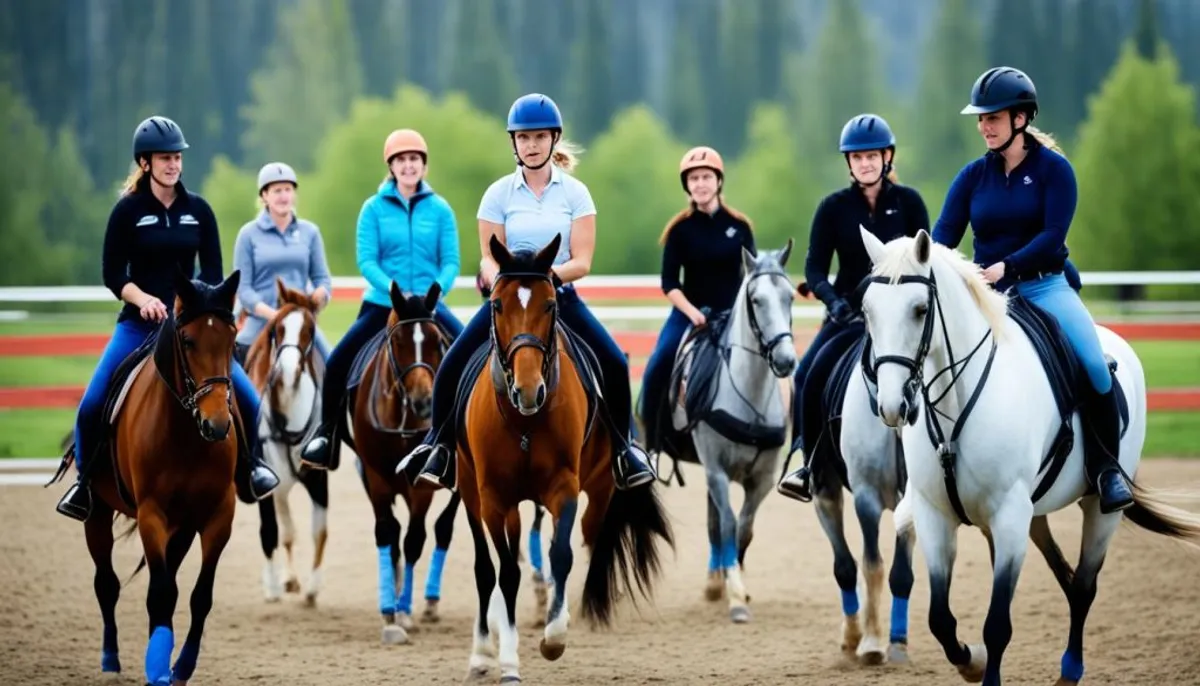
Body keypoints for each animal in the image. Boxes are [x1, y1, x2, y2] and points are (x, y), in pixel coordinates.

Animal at [73, 271, 246, 686]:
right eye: (188, 340)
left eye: (231, 338)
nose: (217, 425)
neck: (186, 434)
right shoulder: (152, 515)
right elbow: (160, 593)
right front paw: (156, 667)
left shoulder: (219, 516)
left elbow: (199, 596)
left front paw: (180, 666)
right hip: (97, 514)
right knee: (107, 583)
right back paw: (110, 658)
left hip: (182, 527)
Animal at [242, 278, 328, 604]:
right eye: (277, 329)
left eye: (310, 330)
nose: (288, 371)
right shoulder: (268, 480)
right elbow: (273, 531)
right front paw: (275, 585)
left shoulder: (318, 477)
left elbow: (319, 531)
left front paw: (313, 587)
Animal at [350, 281, 460, 647]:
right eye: (398, 342)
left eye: (435, 341)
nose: (425, 402)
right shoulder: (376, 477)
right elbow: (387, 533)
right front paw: (389, 611)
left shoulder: (420, 484)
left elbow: (414, 539)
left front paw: (404, 610)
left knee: (443, 528)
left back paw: (428, 601)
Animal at [453, 235, 676, 681]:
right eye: (497, 304)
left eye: (550, 304)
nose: (528, 390)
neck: (524, 421)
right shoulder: (493, 498)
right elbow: (506, 571)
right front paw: (508, 662)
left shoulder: (564, 487)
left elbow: (561, 554)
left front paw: (554, 636)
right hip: (471, 491)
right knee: (487, 568)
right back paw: (482, 654)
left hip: (600, 487)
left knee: (588, 536)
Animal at [859, 230, 1200, 686]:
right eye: (867, 310)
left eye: (919, 310)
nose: (893, 406)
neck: (958, 402)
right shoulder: (936, 517)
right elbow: (940, 618)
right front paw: (972, 661)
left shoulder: (1008, 517)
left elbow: (997, 624)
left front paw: (984, 665)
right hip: (1031, 518)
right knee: (1065, 577)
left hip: (1097, 510)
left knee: (1083, 586)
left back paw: (1070, 670)